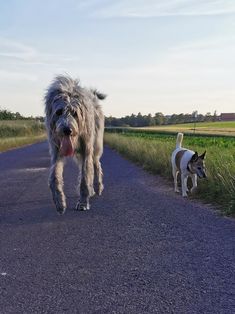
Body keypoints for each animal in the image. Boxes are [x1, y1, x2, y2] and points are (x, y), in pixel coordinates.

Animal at [44, 75, 106, 213]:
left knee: (96, 164)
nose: (67, 130)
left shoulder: (86, 149)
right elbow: (54, 177)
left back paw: (98, 187)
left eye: (74, 113)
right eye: (59, 111)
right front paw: (59, 202)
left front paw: (83, 202)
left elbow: (85, 177)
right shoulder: (57, 151)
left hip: (95, 145)